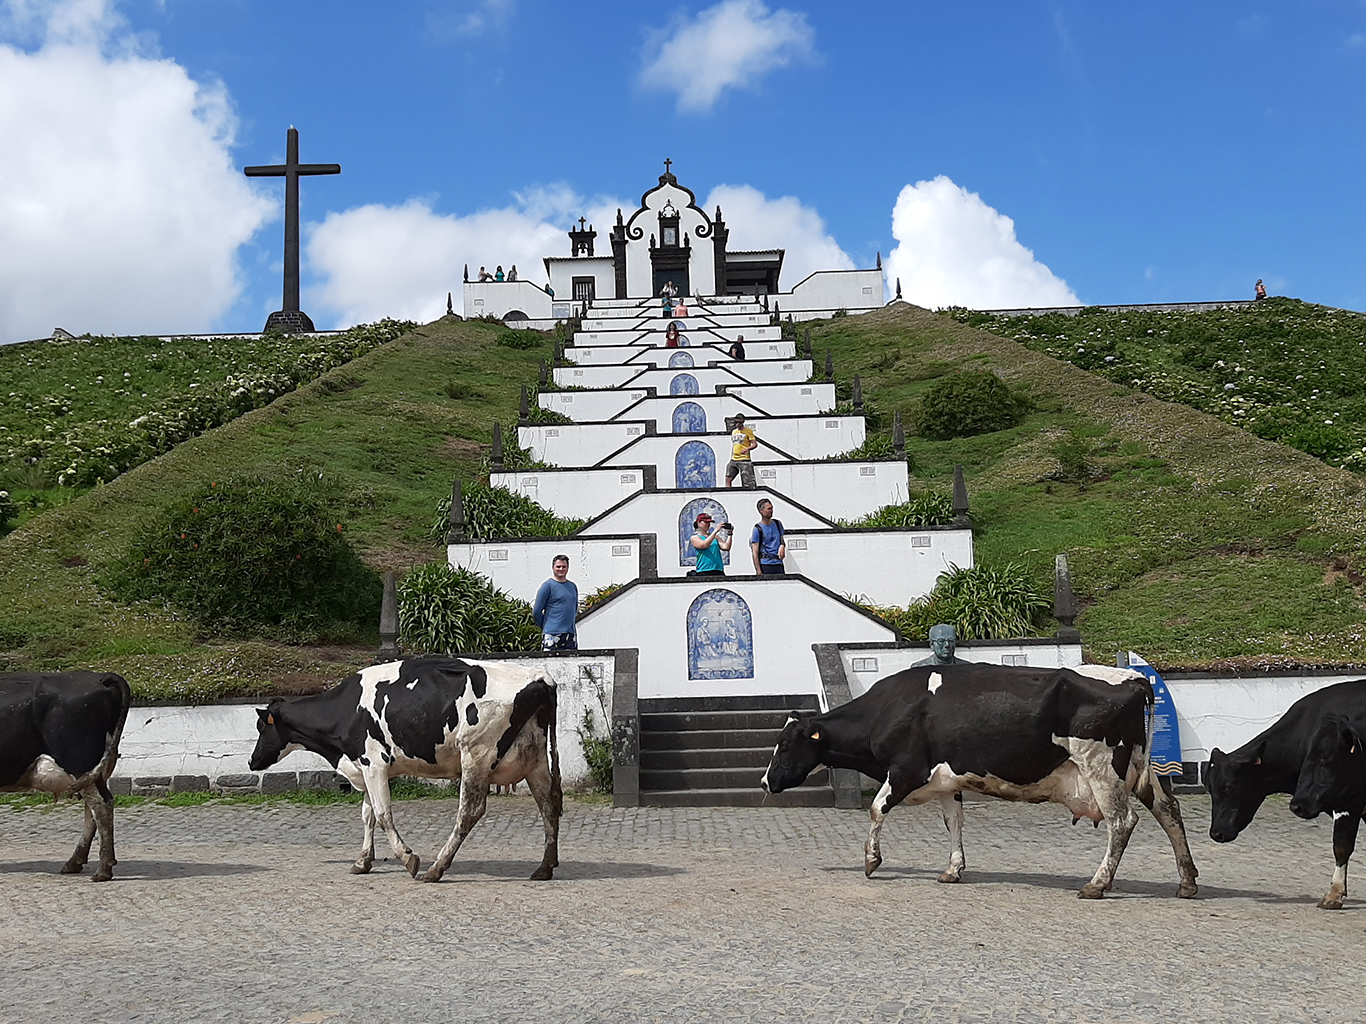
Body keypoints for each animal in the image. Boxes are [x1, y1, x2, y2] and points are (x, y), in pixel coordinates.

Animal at [0, 674, 132, 884]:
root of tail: (97, 677)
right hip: (95, 771)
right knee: (94, 809)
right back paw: (75, 862)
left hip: (80, 761)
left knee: (101, 805)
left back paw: (103, 869)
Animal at [249, 658, 560, 884]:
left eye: (262, 726)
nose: (252, 761)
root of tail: (540, 677)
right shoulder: (365, 767)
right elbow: (368, 815)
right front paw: (362, 861)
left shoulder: (373, 763)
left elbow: (383, 815)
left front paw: (408, 858)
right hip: (534, 760)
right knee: (548, 805)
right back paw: (545, 867)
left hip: (476, 754)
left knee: (469, 812)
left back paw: (436, 869)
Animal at [764, 666, 1202, 895]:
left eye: (784, 744)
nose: (766, 784)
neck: (889, 709)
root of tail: (1133, 678)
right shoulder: (947, 781)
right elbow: (954, 823)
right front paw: (953, 869)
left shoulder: (906, 770)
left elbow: (876, 808)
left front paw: (872, 860)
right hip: (1144, 769)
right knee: (1169, 811)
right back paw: (1186, 880)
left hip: (1101, 767)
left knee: (1122, 822)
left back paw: (1097, 883)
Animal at [1207, 682, 1366, 912]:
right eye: (1209, 788)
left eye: (1229, 786)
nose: (1216, 833)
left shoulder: (1348, 802)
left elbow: (1341, 845)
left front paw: (1334, 894)